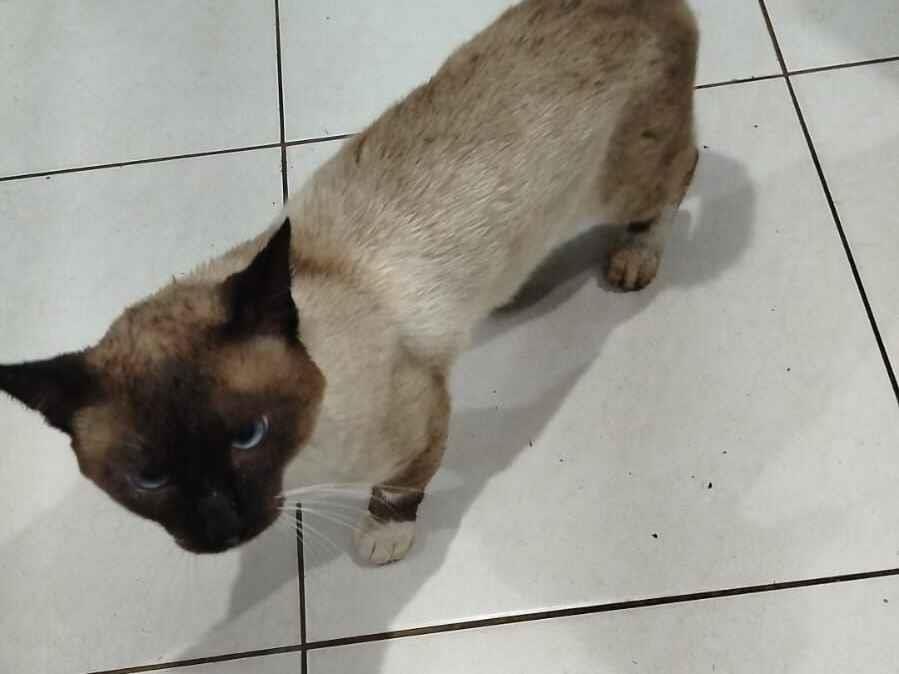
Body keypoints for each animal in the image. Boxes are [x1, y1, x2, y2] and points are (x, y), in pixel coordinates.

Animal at [0, 0, 698, 563]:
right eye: (149, 480)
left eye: (248, 436)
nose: (223, 531)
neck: (302, 463)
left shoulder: (422, 419)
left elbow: (400, 490)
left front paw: (383, 539)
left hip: (620, 186)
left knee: (680, 175)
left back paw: (636, 256)